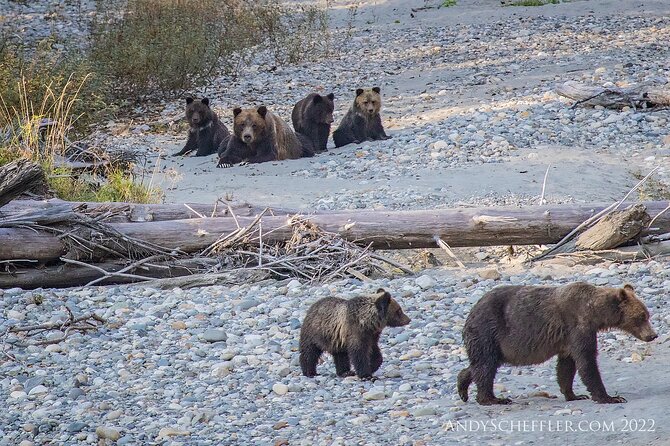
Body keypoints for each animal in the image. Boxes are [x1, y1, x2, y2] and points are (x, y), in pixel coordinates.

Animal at [457, 282, 657, 406]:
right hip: (488, 331)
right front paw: (610, 397)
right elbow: (587, 362)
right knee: (486, 365)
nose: (653, 335)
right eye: (641, 317)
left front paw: (574, 395)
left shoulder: (567, 340)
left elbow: (566, 366)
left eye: (647, 314)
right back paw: (493, 399)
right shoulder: (578, 326)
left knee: (481, 364)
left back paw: (463, 388)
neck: (594, 312)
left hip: (493, 342)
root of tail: (471, 312)